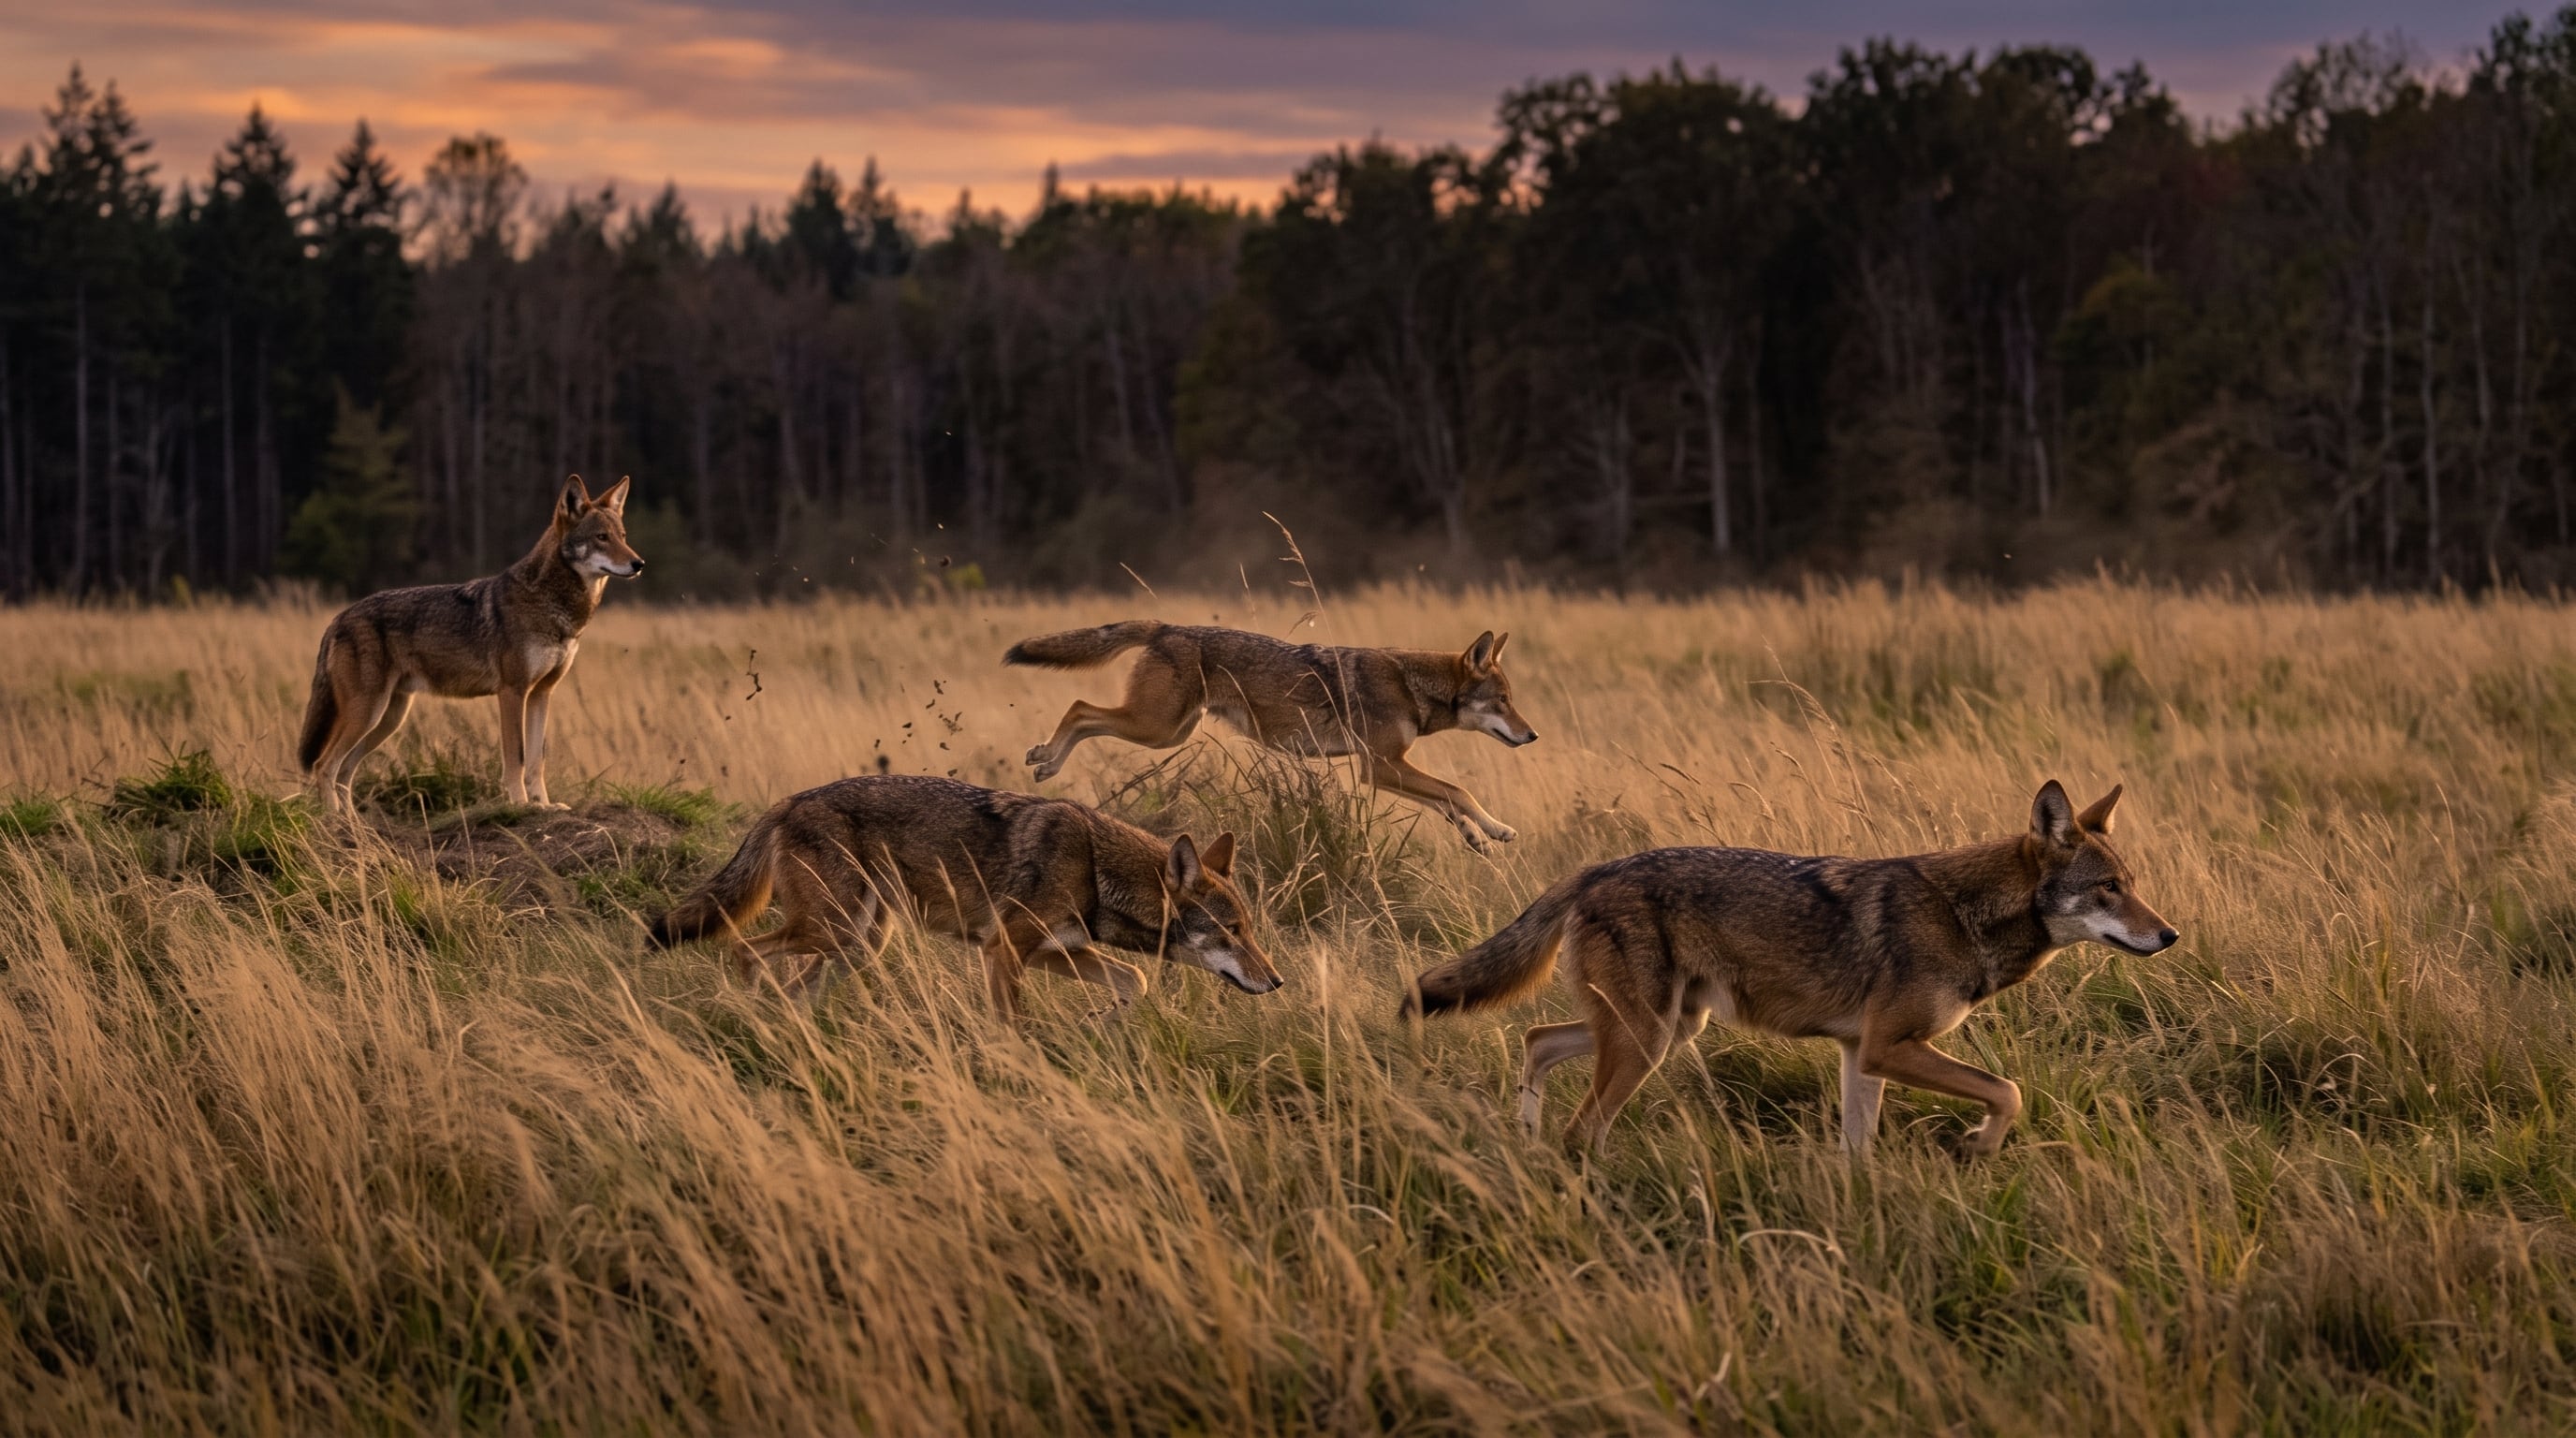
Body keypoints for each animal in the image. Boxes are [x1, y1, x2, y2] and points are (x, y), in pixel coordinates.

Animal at [296, 475, 643, 813]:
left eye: (623, 536)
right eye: (601, 537)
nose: (638, 563)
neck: (554, 606)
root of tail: (339, 617)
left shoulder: (542, 694)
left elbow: (536, 761)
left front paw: (545, 805)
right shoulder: (512, 692)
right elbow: (517, 758)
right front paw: (520, 805)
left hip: (387, 719)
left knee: (344, 771)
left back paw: (355, 825)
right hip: (368, 713)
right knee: (324, 765)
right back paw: (335, 822)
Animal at [648, 774, 1284, 1023]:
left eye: (1249, 930)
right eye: (1230, 932)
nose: (1278, 982)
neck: (1095, 867)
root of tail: (785, 802)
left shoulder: (1055, 951)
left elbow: (1138, 980)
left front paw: (1100, 1022)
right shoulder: (1003, 951)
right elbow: (1014, 1024)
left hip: (859, 944)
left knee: (793, 989)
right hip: (832, 932)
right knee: (744, 951)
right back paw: (749, 1013)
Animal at [1005, 621, 1538, 851]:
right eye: (1503, 700)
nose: (1532, 735)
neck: (1412, 684)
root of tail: (1167, 627)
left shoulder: (1387, 769)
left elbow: (1446, 803)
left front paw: (1478, 836)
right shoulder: (1381, 767)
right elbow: (1459, 791)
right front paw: (1499, 829)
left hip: (1167, 733)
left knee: (1084, 713)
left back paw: (1046, 763)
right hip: (1154, 728)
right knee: (1079, 708)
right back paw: (1044, 758)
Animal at [1402, 781, 2177, 1158]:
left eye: (2133, 883)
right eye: (2109, 888)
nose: (2169, 935)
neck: (1964, 913)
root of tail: (1595, 870)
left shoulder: (1861, 1055)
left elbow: (1858, 1149)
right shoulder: (1889, 1046)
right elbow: (2008, 1091)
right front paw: (1979, 1148)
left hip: (1666, 1030)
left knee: (1535, 1043)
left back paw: (1526, 1141)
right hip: (1647, 1040)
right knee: (1581, 1127)